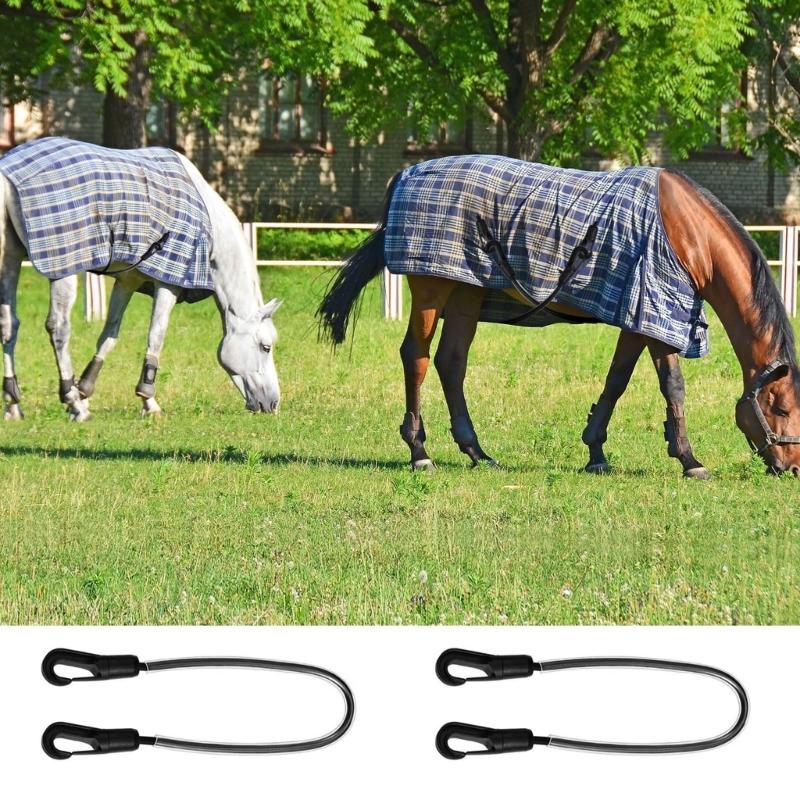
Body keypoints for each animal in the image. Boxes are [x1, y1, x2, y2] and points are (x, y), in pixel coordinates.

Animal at [0, 137, 281, 421]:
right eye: (265, 347)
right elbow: (156, 335)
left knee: (9, 325)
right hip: (62, 269)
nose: (272, 404)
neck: (208, 222)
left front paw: (86, 391)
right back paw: (72, 402)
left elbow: (109, 335)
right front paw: (148, 401)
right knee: (58, 327)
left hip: (9, 260)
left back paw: (14, 403)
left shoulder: (127, 281)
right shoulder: (168, 284)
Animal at [318, 154, 800, 477]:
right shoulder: (656, 312)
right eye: (780, 407)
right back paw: (420, 452)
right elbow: (673, 387)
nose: (792, 467)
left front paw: (596, 452)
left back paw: (478, 453)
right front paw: (689, 459)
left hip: (467, 292)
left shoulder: (636, 316)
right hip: (431, 291)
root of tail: (406, 175)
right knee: (415, 358)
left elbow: (616, 380)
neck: (687, 231)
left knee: (451, 363)